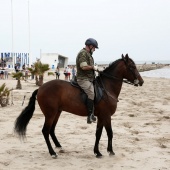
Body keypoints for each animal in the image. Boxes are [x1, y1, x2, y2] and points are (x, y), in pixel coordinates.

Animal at [13, 54, 143, 158]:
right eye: (132, 67)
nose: (141, 82)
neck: (107, 87)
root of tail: (40, 88)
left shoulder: (101, 117)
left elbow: (99, 133)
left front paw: (97, 152)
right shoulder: (106, 115)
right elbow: (109, 132)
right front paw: (110, 151)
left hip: (57, 112)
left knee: (52, 130)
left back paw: (59, 147)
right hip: (50, 114)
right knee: (45, 131)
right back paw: (52, 153)